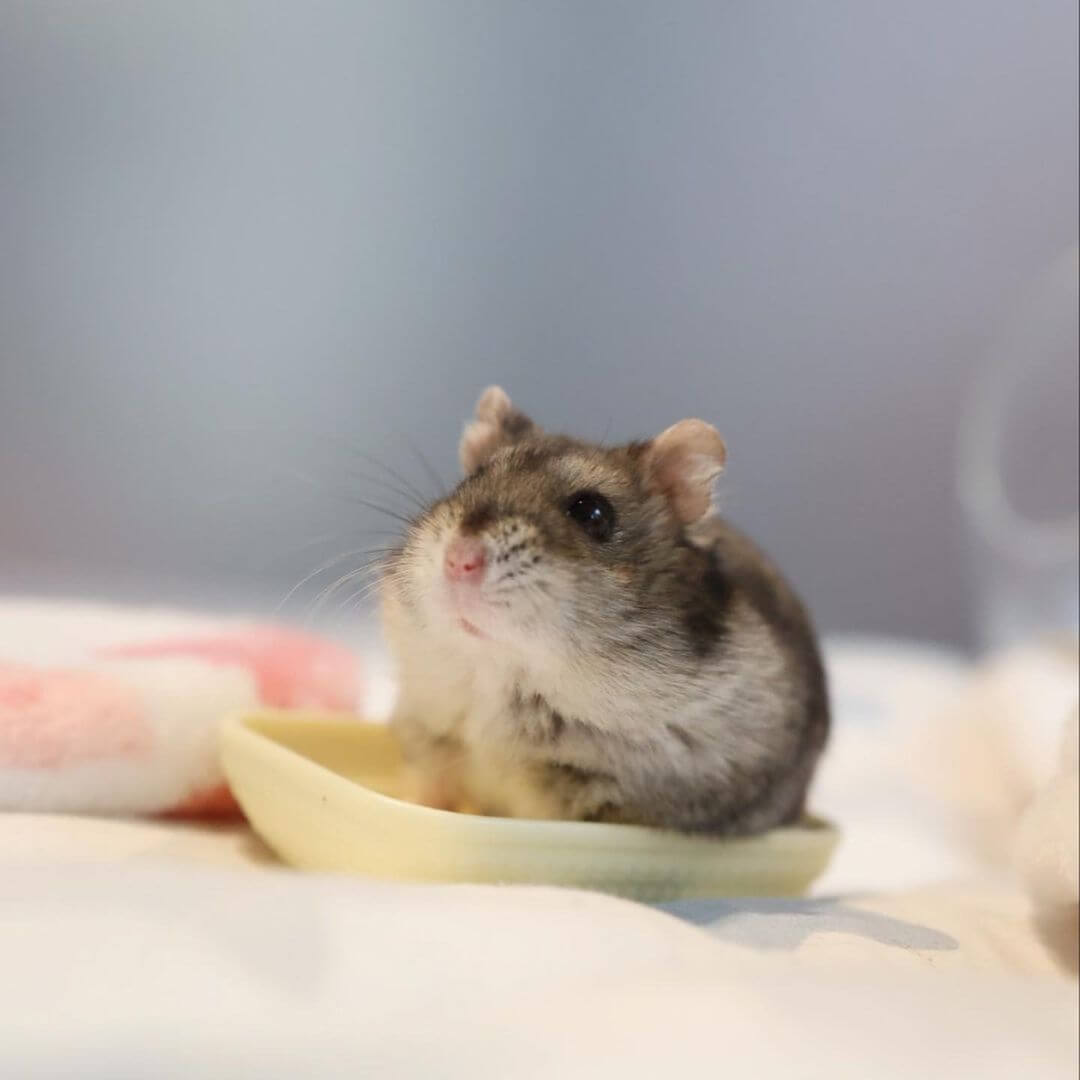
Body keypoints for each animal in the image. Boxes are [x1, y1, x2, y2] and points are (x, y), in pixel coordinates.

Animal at [379, 387, 829, 836]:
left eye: (593, 513)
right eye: (471, 479)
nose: (460, 561)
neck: (500, 673)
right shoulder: (426, 732)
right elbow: (430, 786)